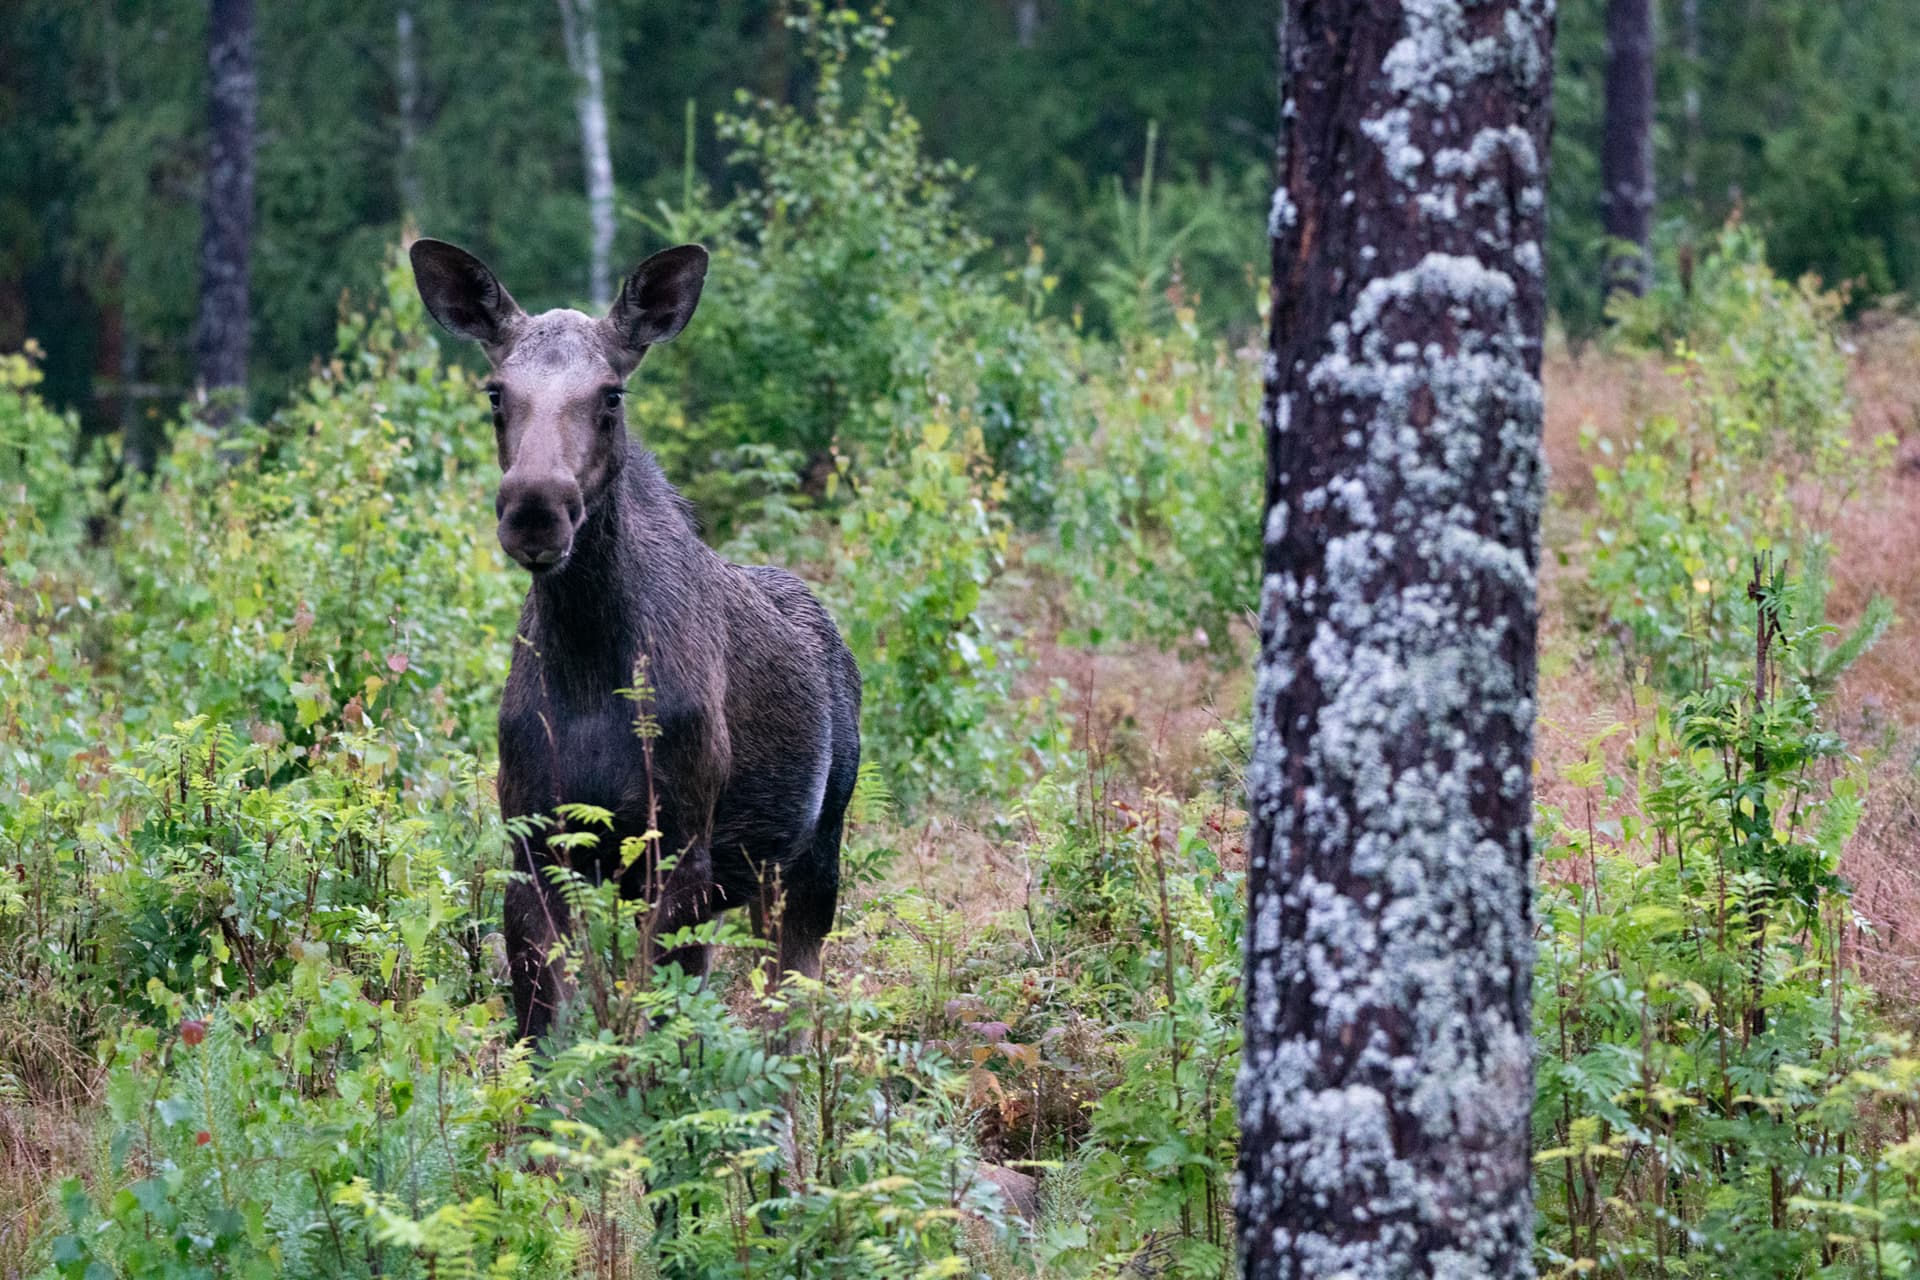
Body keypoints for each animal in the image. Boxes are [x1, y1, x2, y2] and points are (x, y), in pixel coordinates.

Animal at [409, 237, 862, 1044]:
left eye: (611, 394)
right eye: (495, 392)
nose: (536, 508)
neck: (589, 662)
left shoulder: (678, 850)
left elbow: (660, 1032)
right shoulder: (536, 845)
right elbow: (543, 1037)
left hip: (816, 858)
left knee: (796, 1008)